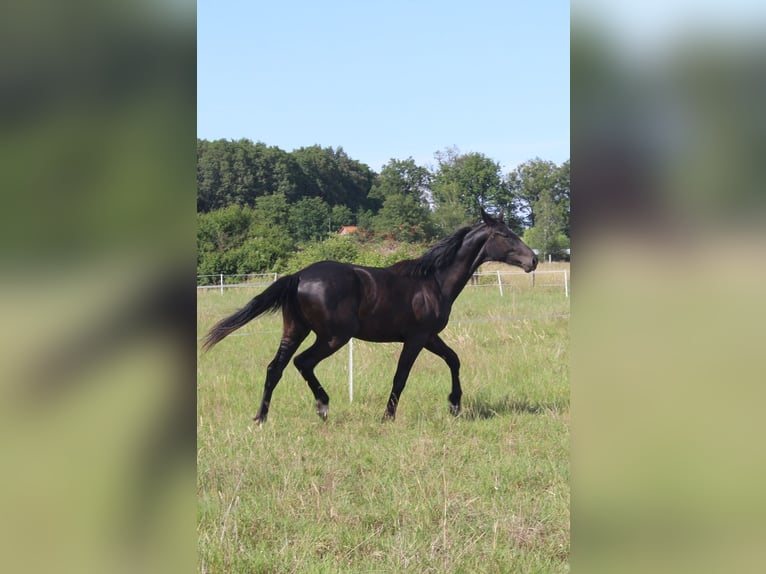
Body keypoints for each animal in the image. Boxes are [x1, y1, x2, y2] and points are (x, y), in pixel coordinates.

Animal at [204, 210, 540, 424]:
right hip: (333, 337)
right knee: (303, 362)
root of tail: (299, 276)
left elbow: (454, 360)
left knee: (276, 368)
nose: (533, 260)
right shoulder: (416, 338)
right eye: (505, 234)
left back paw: (261, 418)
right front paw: (388, 416)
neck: (433, 281)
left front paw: (454, 405)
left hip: (295, 330)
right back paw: (322, 406)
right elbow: (401, 376)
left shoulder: (430, 336)